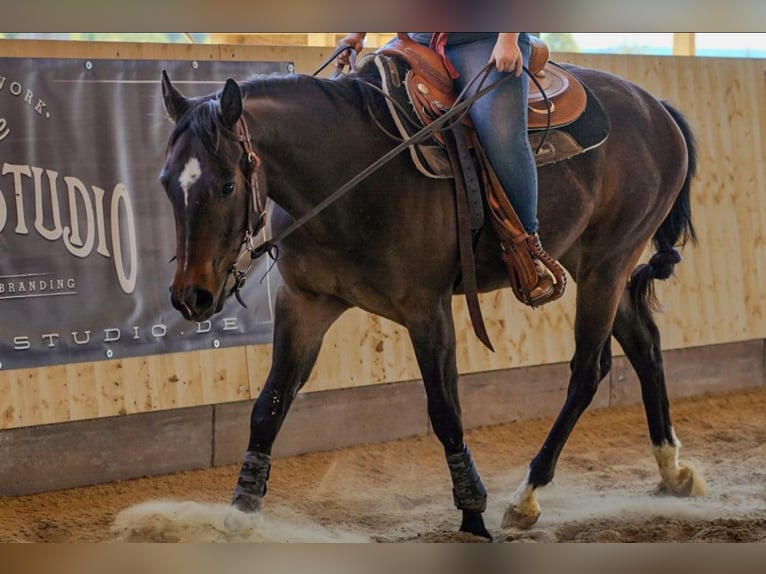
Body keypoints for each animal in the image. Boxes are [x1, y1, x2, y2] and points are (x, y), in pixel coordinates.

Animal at [159, 59, 704, 540]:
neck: (349, 174)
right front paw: (241, 513)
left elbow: (445, 412)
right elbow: (269, 407)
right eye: (166, 183)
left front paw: (473, 516)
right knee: (644, 344)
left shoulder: (427, 311)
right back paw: (672, 469)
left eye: (226, 184)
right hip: (593, 262)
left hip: (609, 263)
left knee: (588, 370)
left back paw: (526, 496)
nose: (191, 296)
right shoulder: (305, 304)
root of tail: (656, 108)